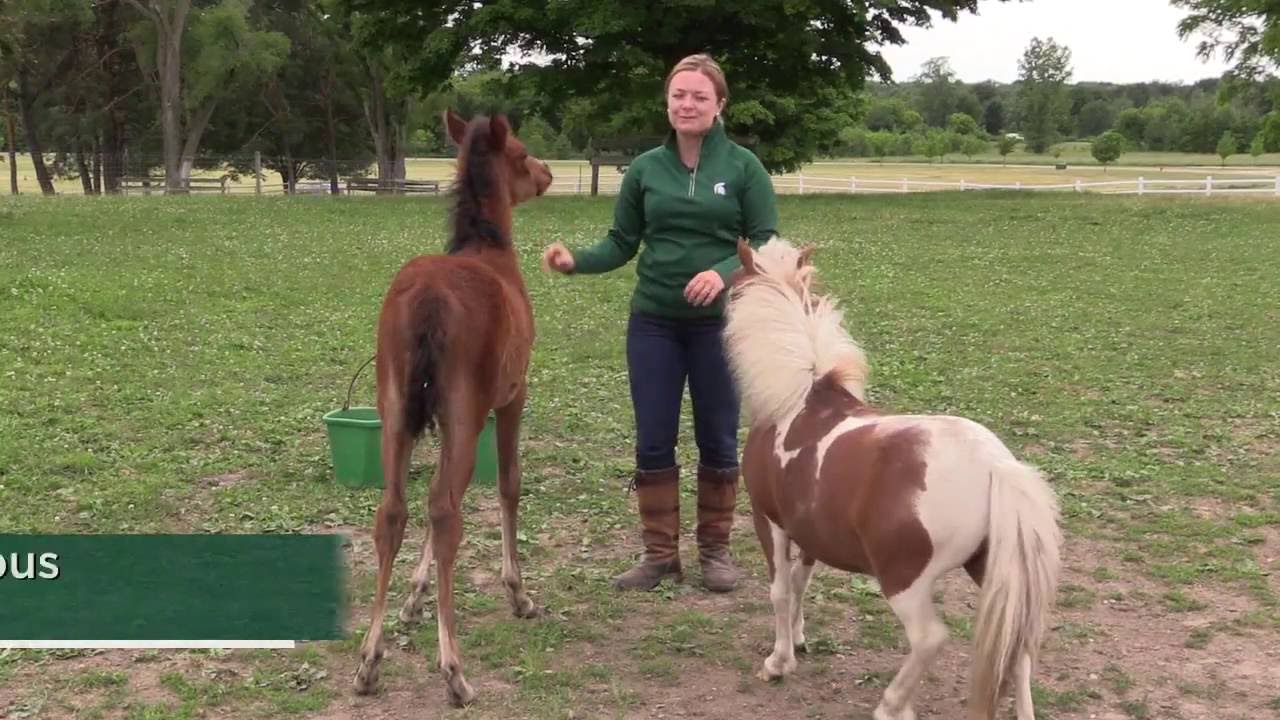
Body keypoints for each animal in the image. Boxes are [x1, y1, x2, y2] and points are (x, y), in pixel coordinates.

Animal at [352, 109, 553, 707]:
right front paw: (518, 592)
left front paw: (413, 598)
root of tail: (426, 302)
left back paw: (368, 662)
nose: (547, 174)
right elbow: (508, 484)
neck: (490, 250)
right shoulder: (510, 397)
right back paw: (454, 671)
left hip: (394, 410)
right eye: (521, 152)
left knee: (394, 510)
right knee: (445, 511)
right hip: (465, 412)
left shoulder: (435, 416)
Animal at [722, 238, 1062, 720]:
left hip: (905, 582)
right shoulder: (810, 532)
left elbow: (780, 591)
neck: (800, 400)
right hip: (994, 573)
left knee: (929, 639)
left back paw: (891, 704)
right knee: (1018, 649)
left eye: (732, 281)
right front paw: (800, 640)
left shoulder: (769, 521)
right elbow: (802, 584)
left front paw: (778, 662)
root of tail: (996, 466)